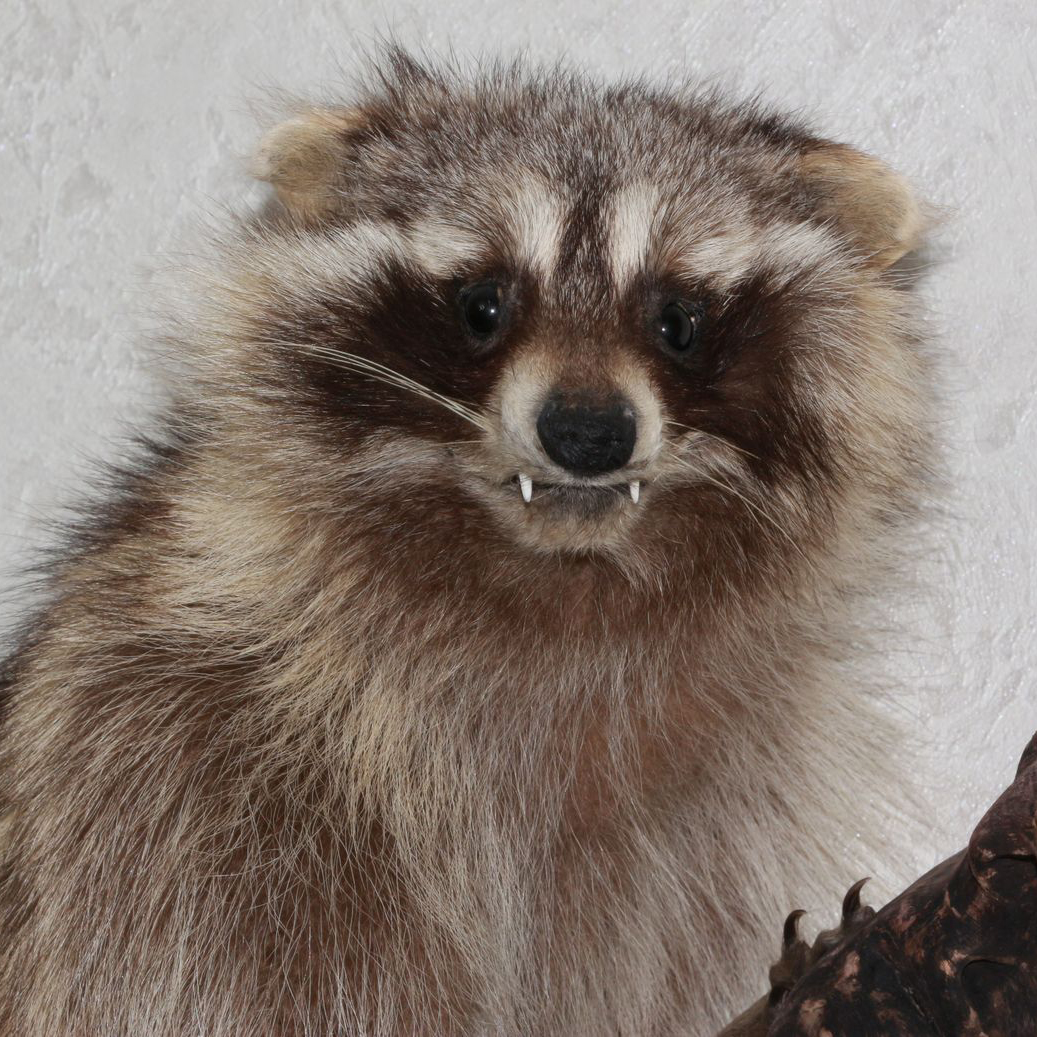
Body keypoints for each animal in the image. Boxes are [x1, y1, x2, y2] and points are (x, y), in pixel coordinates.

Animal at [0, 50, 930, 1037]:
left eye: (677, 320)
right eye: (483, 304)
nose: (588, 431)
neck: (560, 578)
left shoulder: (706, 809)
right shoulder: (164, 736)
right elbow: (186, 965)